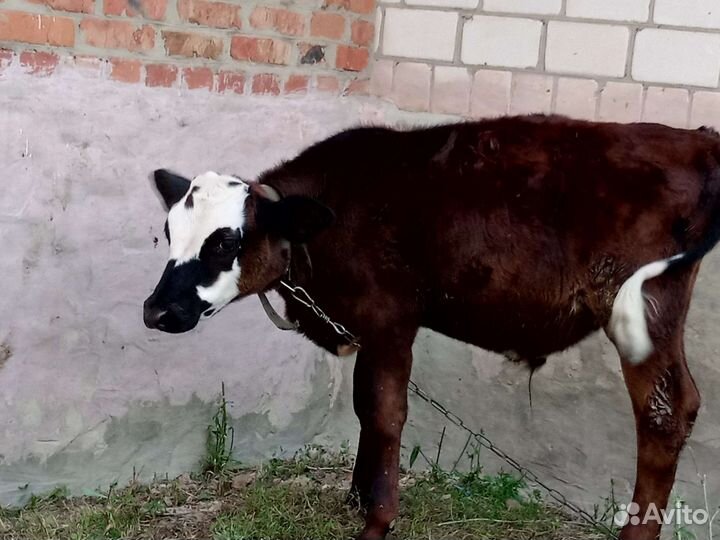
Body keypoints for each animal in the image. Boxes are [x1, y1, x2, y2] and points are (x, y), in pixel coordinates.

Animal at [143, 114, 720, 540]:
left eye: (224, 242)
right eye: (169, 231)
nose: (156, 311)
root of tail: (697, 139)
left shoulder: (390, 317)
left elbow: (385, 412)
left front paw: (377, 520)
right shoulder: (367, 324)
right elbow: (364, 407)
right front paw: (356, 497)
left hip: (642, 306)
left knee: (665, 413)